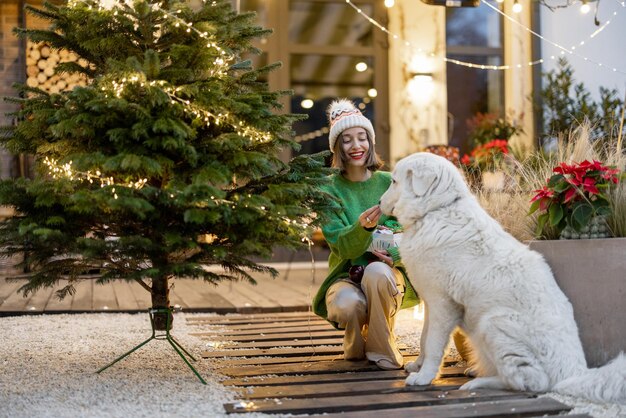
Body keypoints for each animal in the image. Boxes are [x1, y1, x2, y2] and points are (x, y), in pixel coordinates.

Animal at [378, 153, 624, 404]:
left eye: (394, 182)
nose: (378, 202)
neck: (436, 210)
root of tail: (573, 372)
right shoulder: (431, 302)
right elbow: (424, 339)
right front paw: (417, 366)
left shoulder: (442, 304)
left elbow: (434, 345)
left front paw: (424, 377)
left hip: (492, 322)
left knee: (529, 380)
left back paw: (479, 382)